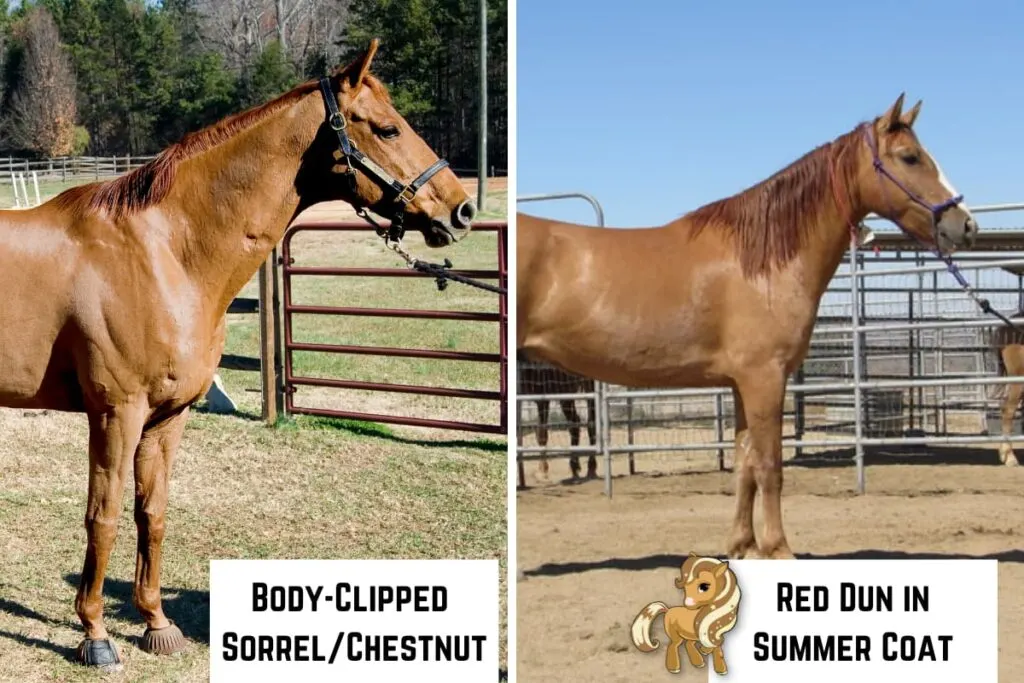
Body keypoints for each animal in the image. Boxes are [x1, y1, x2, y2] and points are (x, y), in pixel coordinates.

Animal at [0, 40, 477, 671]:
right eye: (388, 128)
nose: (462, 210)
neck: (162, 252)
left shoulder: (166, 418)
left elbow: (152, 513)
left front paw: (156, 623)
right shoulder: (116, 414)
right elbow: (103, 518)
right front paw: (96, 635)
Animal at [520, 94, 974, 561]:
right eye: (910, 157)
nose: (965, 224)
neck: (760, 262)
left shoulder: (741, 384)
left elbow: (745, 465)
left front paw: (741, 545)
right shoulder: (764, 378)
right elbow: (771, 465)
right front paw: (778, 548)